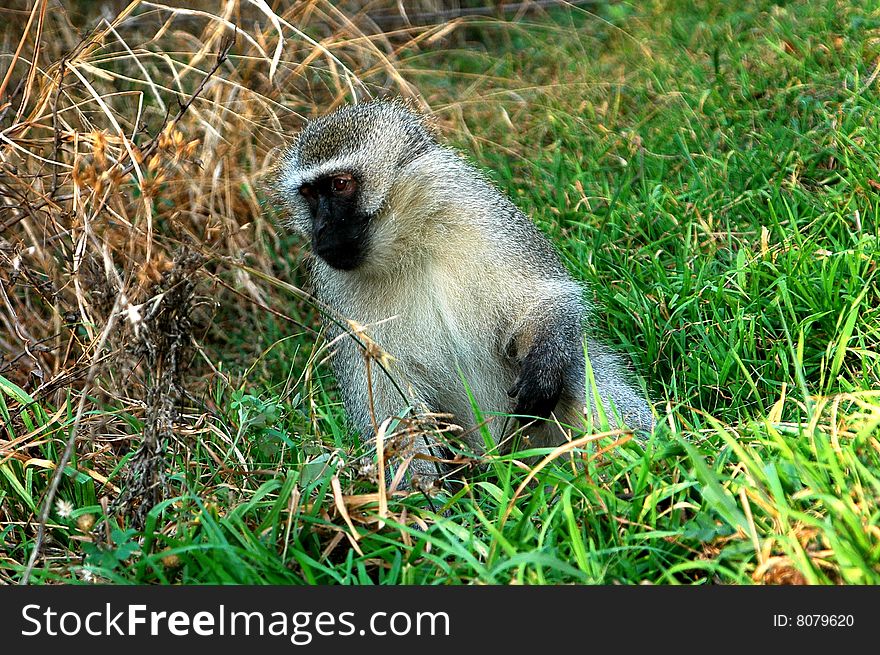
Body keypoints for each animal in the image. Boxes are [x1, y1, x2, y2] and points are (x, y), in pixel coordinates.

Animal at [276, 98, 652, 486]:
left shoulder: (482, 215)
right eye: (309, 194)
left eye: (339, 184)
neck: (408, 244)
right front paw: (422, 494)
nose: (321, 230)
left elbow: (545, 298)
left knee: (576, 366)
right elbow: (389, 405)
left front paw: (545, 365)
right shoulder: (336, 292)